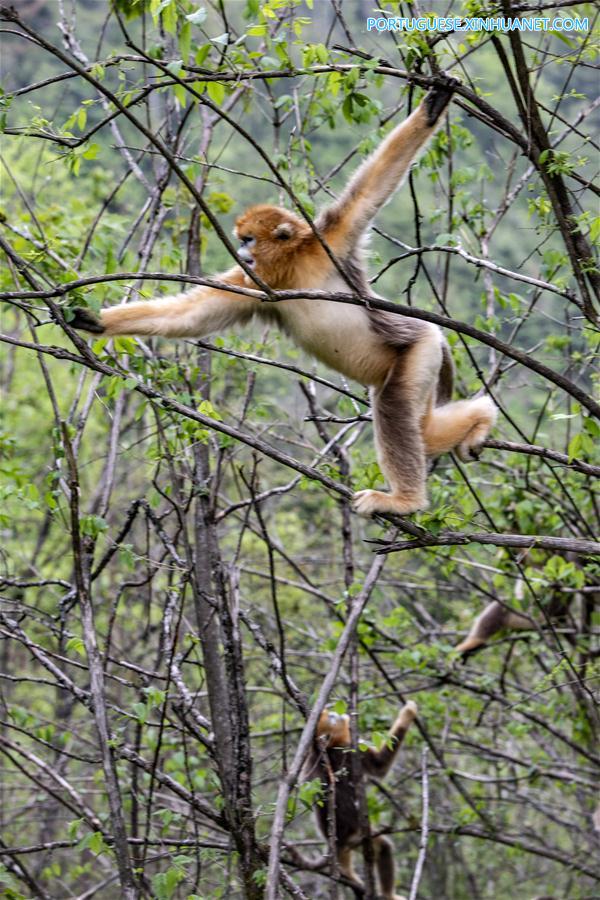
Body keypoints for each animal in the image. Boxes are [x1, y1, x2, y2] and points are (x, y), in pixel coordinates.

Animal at [70, 81, 497, 516]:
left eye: (248, 239)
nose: (240, 252)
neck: (293, 268)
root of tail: (435, 339)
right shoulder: (256, 286)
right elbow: (191, 315)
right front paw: (96, 320)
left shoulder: (328, 244)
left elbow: (370, 189)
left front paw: (432, 110)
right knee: (422, 426)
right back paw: (481, 419)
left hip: (419, 348)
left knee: (395, 405)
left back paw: (404, 501)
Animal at [300, 702, 418, 899]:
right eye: (331, 718)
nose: (336, 713)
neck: (330, 749)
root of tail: (342, 840)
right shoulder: (353, 750)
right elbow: (380, 765)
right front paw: (408, 712)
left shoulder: (313, 763)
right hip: (360, 836)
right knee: (384, 847)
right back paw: (388, 894)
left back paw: (345, 870)